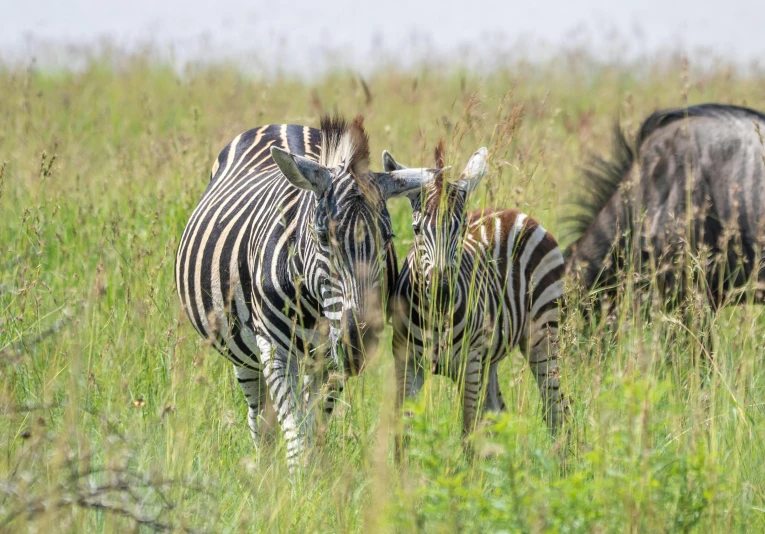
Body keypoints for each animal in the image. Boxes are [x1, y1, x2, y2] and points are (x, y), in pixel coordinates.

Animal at [174, 115, 436, 466]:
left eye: (388, 237)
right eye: (323, 236)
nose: (357, 343)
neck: (314, 308)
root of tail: (280, 125)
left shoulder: (331, 361)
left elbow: (315, 426)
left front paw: (316, 474)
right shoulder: (276, 351)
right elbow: (297, 435)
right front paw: (298, 479)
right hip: (244, 354)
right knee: (259, 416)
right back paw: (265, 468)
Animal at [388, 141, 568, 448]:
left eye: (460, 229)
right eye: (415, 228)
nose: (442, 292)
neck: (436, 320)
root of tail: (511, 212)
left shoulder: (469, 365)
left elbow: (468, 435)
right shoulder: (406, 362)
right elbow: (403, 436)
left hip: (543, 334)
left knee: (556, 409)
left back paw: (560, 459)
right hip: (491, 357)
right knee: (499, 412)